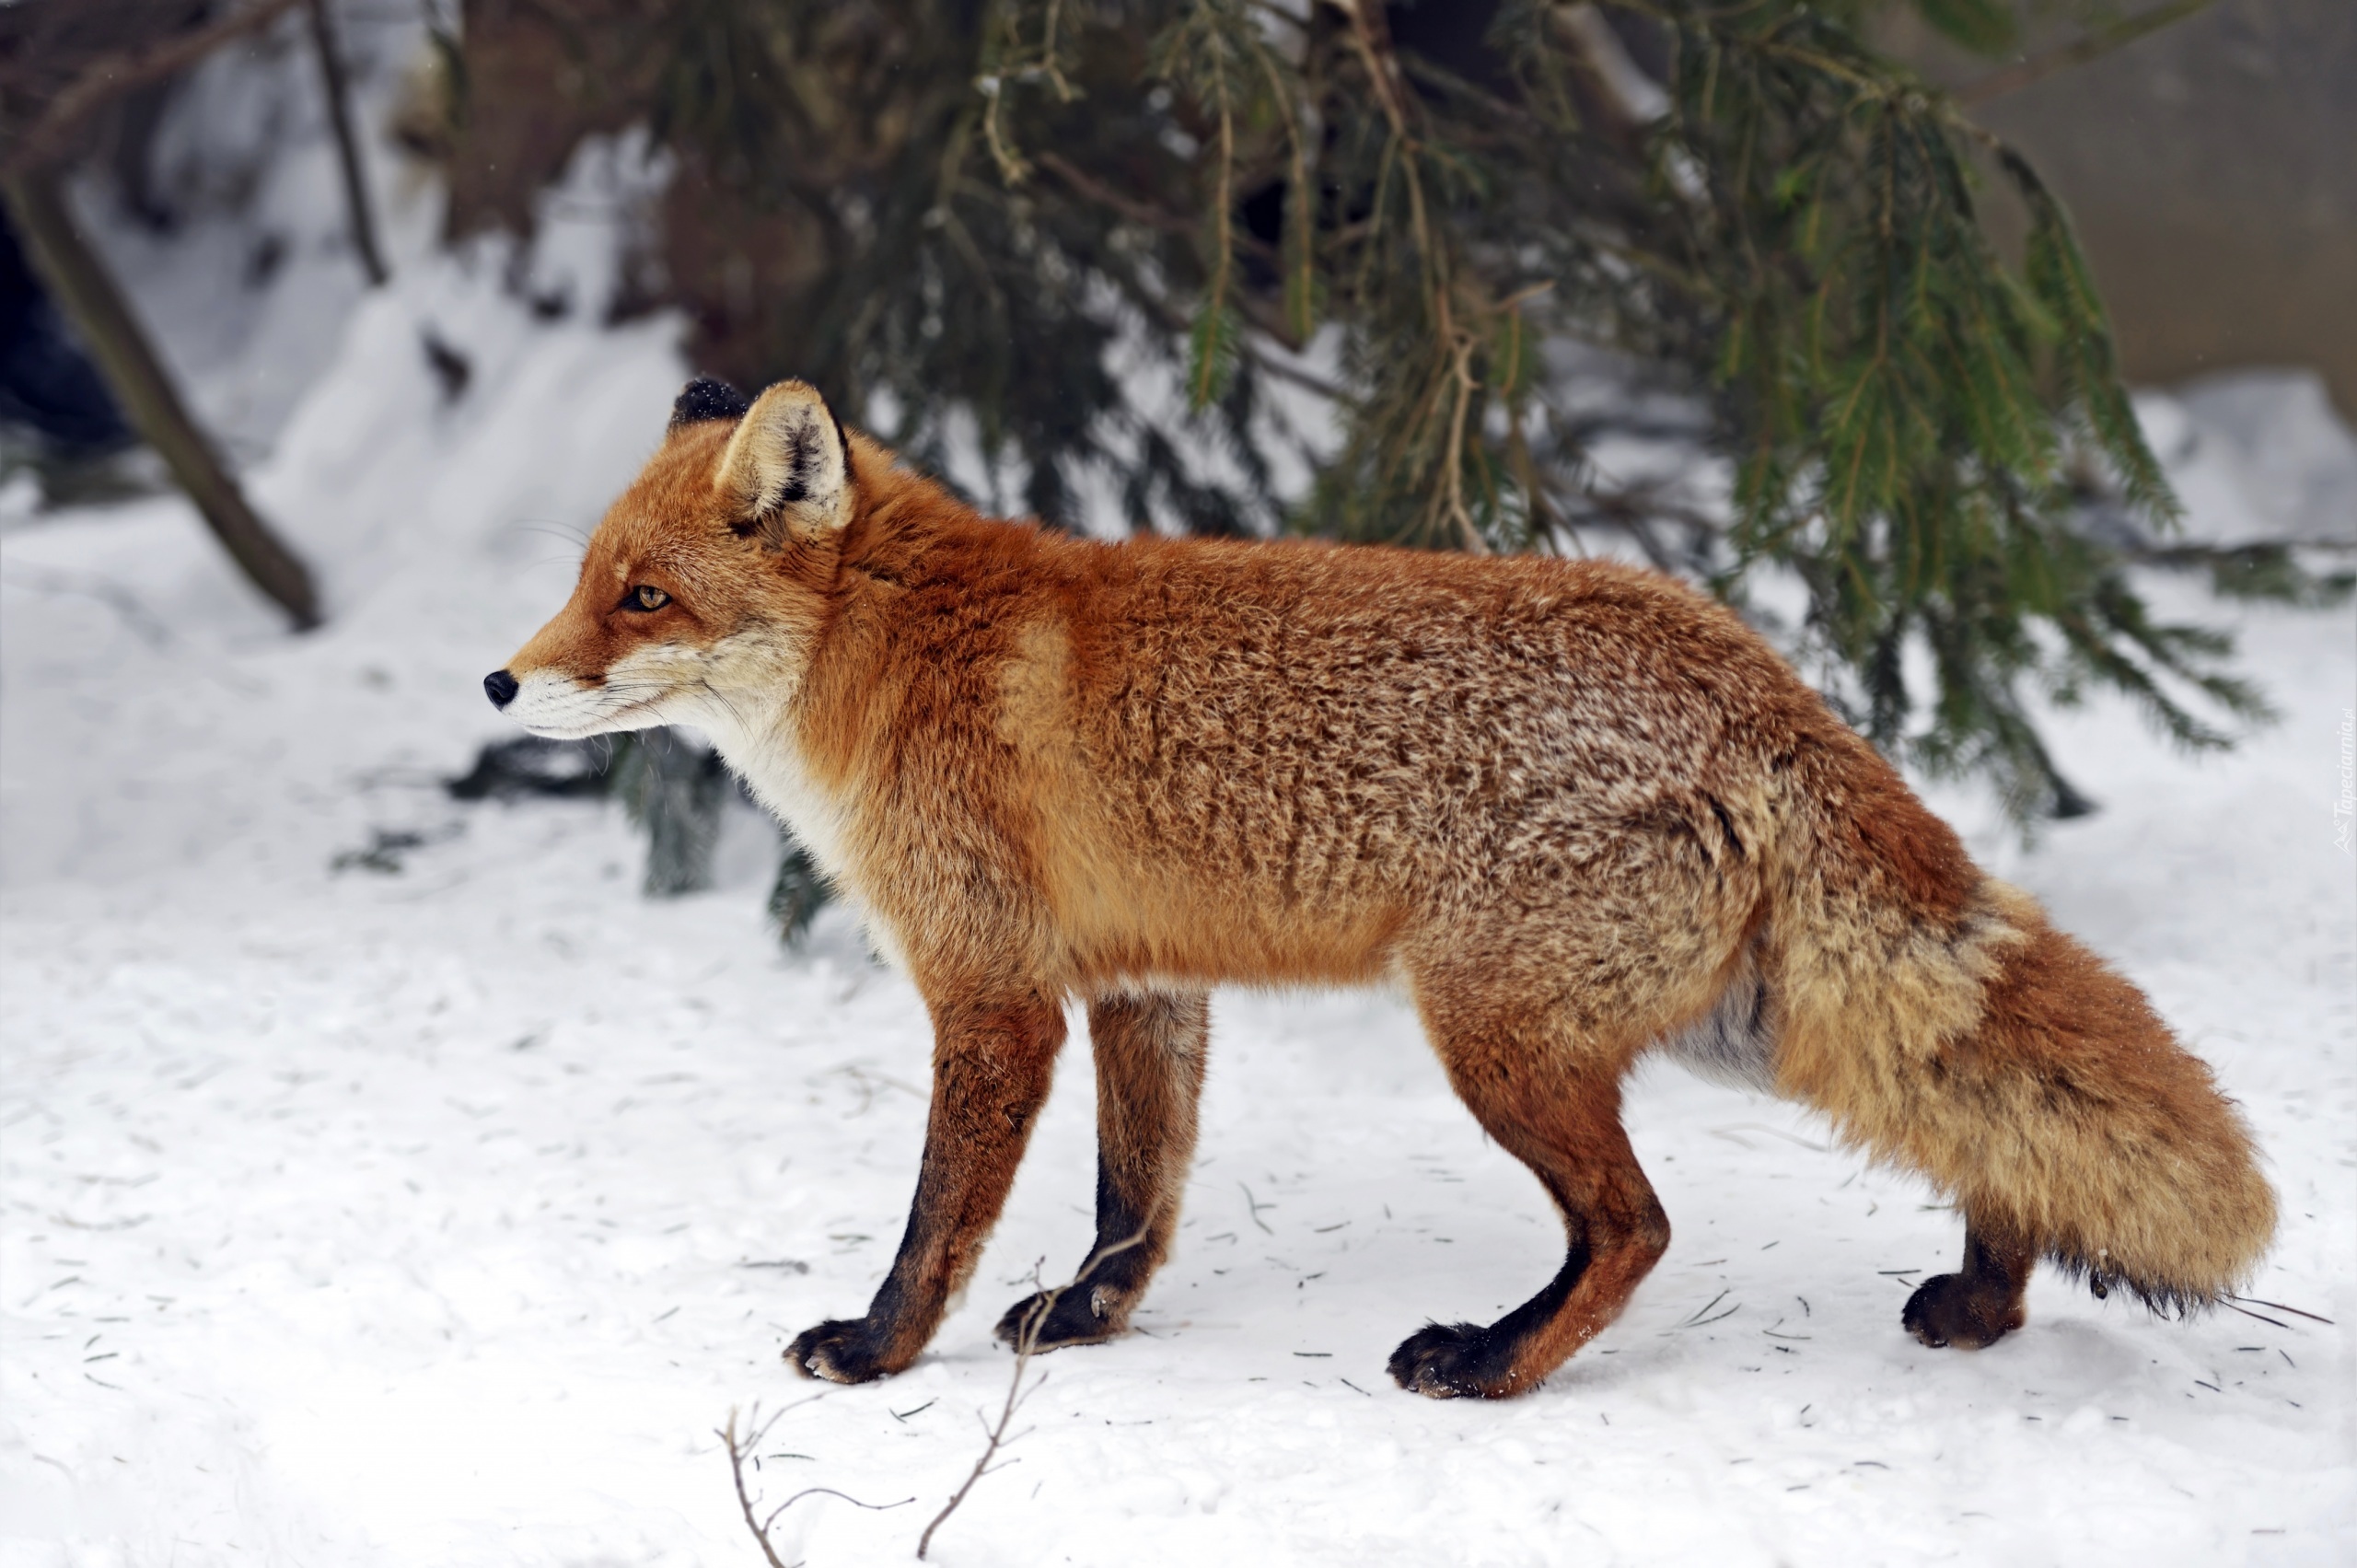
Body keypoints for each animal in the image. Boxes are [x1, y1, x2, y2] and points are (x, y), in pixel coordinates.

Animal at [487, 377, 2271, 1396]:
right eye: (582, 581)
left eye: (643, 598)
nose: (503, 684)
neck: (899, 660)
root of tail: (1751, 671)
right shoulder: (1143, 983)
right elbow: (1133, 1199)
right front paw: (1086, 1323)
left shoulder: (994, 995)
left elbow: (939, 1216)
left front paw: (876, 1350)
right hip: (1726, 1026)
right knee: (1982, 1126)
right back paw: (1987, 1296)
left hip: (1496, 1034)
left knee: (1638, 1225)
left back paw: (1491, 1363)